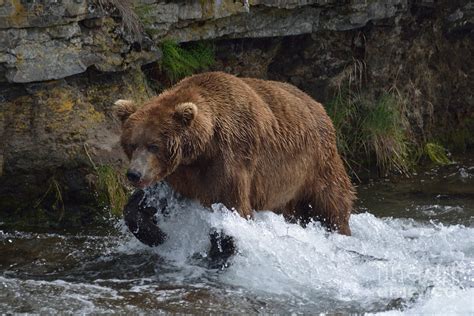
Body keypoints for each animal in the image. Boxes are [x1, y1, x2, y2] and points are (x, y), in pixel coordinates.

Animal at [115, 71, 356, 235]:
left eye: (153, 145)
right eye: (132, 144)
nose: (134, 174)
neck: (201, 149)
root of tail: (321, 107)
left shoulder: (231, 157)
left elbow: (234, 206)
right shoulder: (178, 174)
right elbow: (146, 202)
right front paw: (152, 231)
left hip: (316, 163)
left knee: (331, 202)